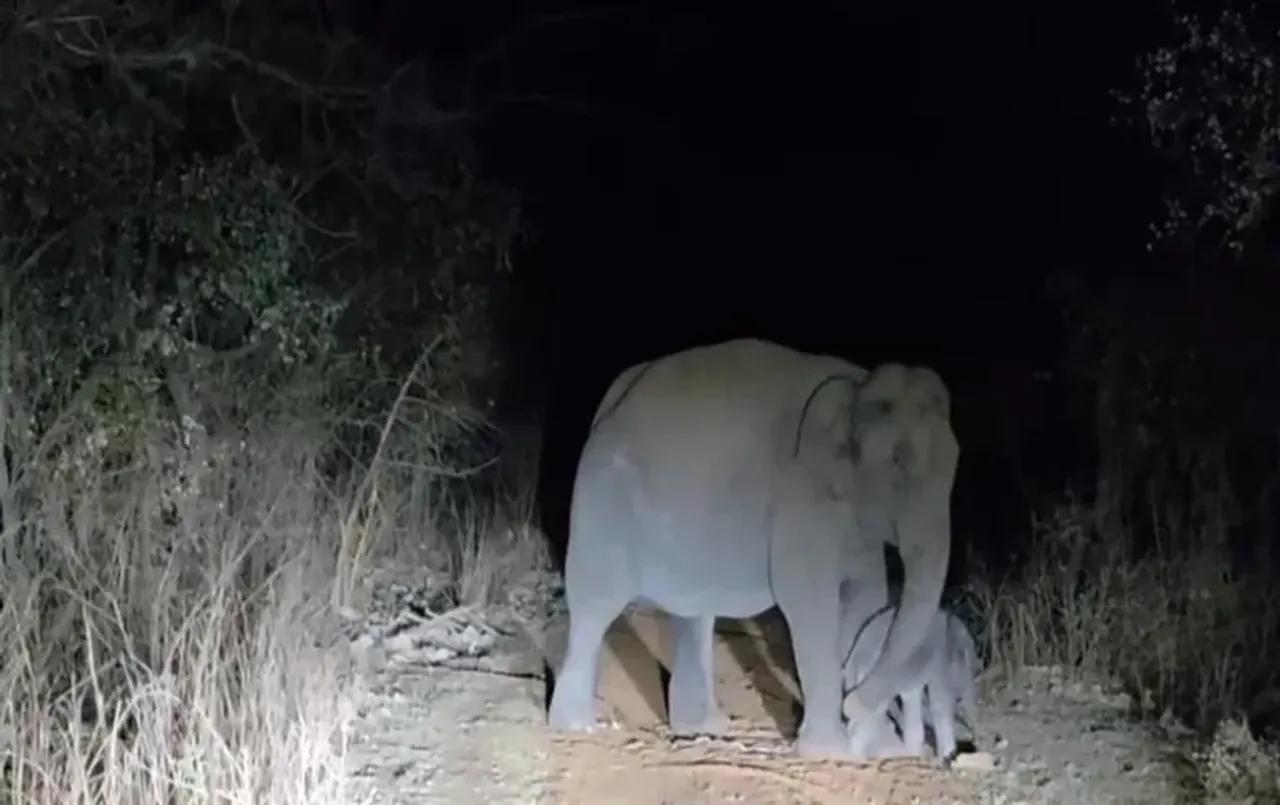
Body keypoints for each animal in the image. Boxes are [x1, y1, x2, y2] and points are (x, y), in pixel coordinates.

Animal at [545, 337, 959, 758]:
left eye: (957, 463)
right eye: (898, 462)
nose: (854, 705)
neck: (857, 384)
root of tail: (608, 404)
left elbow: (866, 601)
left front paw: (876, 747)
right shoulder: (801, 498)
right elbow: (810, 601)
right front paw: (831, 750)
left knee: (693, 613)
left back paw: (703, 727)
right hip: (603, 498)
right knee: (597, 604)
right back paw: (578, 726)